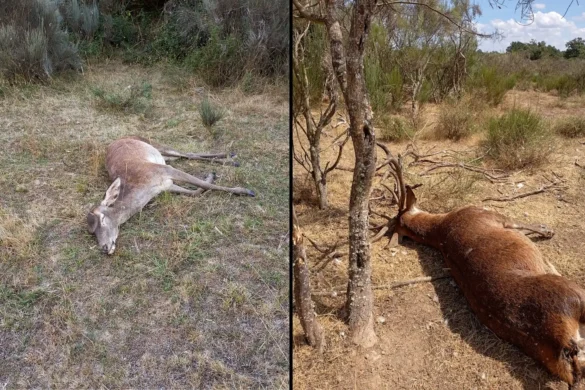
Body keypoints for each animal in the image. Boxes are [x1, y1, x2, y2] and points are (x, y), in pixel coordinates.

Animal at [86, 136, 253, 254]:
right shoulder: (167, 186)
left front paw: (246, 191)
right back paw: (228, 158)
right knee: (187, 156)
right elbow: (196, 191)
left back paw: (230, 157)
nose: (104, 248)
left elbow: (204, 186)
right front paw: (210, 176)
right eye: (92, 232)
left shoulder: (165, 170)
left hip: (158, 146)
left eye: (102, 219)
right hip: (166, 156)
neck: (146, 188)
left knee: (186, 153)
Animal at [376, 149, 584, 386]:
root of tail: (561, 343)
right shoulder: (491, 215)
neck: (441, 229)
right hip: (574, 293)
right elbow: (519, 223)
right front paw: (547, 230)